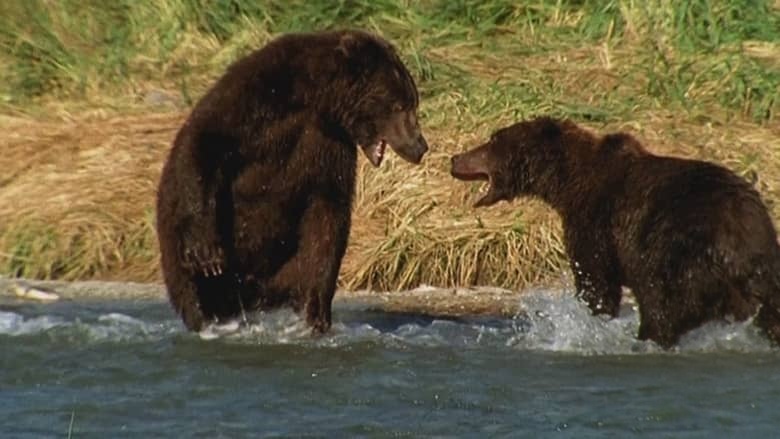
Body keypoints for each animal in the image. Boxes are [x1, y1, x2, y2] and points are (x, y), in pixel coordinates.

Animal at [156, 29, 429, 333]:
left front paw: (318, 312)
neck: (317, 99)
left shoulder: (328, 145)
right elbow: (205, 140)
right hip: (178, 259)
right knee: (195, 295)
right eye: (401, 104)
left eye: (412, 101)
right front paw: (206, 252)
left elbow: (327, 218)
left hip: (282, 269)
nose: (420, 145)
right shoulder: (256, 99)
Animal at [450, 116, 780, 348]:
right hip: (766, 271)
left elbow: (596, 281)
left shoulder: (595, 224)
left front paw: (591, 319)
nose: (455, 158)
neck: (568, 186)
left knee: (661, 306)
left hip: (683, 255)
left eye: (493, 140)